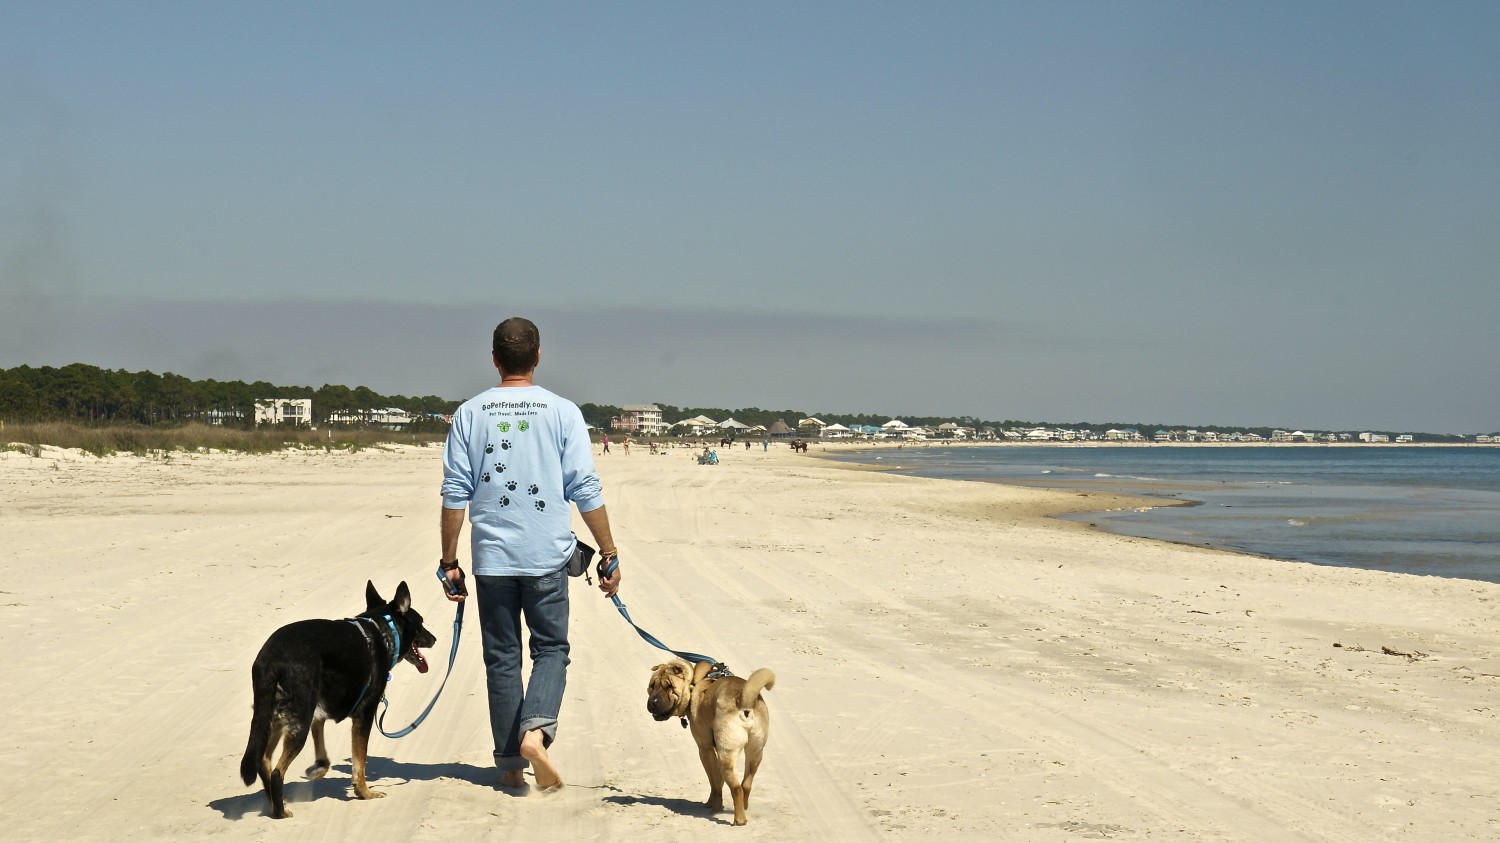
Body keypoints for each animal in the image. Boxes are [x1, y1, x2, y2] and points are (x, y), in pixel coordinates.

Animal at [240, 576, 438, 816]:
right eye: (421, 623)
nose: (434, 639)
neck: (382, 630)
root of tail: (270, 659)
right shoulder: (364, 715)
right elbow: (359, 762)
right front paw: (364, 793)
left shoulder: (319, 713)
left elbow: (324, 755)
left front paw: (318, 769)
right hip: (298, 720)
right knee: (278, 772)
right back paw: (280, 812)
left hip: (275, 716)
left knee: (263, 761)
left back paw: (276, 803)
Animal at [648, 657, 780, 822]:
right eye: (651, 686)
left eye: (669, 686)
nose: (652, 702)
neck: (695, 683)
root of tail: (744, 701)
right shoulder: (716, 750)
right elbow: (719, 780)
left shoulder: (705, 749)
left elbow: (715, 782)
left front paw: (714, 805)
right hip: (755, 753)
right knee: (746, 785)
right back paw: (744, 808)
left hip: (727, 757)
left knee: (736, 788)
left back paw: (739, 819)